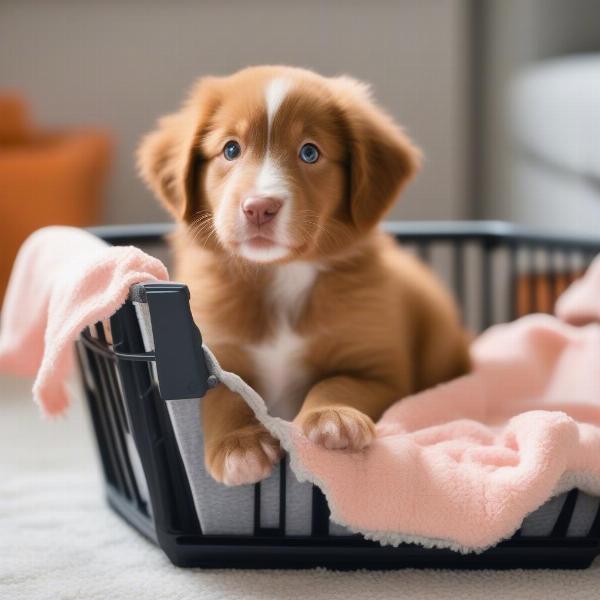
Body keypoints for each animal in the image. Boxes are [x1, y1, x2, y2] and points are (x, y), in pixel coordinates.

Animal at [138, 67, 472, 488]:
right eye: (230, 150)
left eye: (309, 152)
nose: (259, 207)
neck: (280, 275)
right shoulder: (213, 352)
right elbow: (225, 396)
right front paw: (239, 446)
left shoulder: (379, 372)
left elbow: (337, 381)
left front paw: (334, 418)